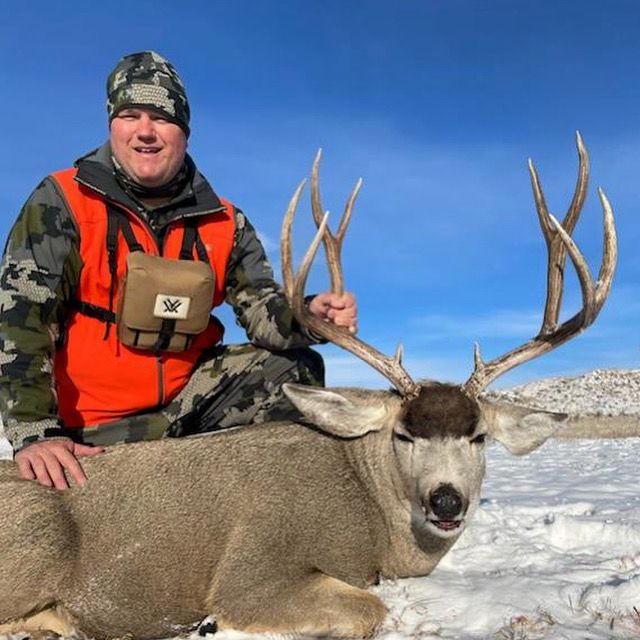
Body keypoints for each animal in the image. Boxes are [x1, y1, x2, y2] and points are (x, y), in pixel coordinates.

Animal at [0, 133, 616, 639]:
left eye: (480, 437)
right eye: (404, 436)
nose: (447, 500)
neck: (372, 521)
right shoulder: (255, 567)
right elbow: (367, 609)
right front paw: (213, 627)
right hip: (34, 546)